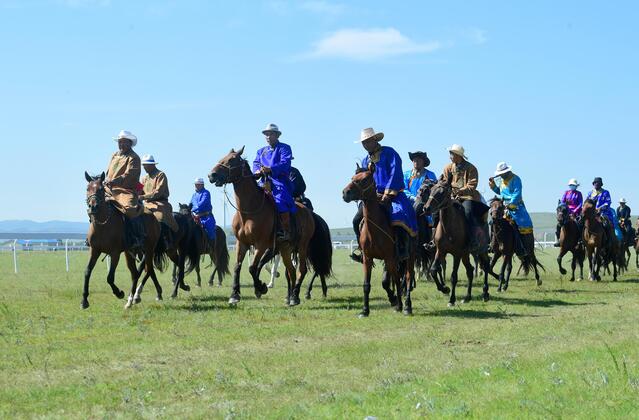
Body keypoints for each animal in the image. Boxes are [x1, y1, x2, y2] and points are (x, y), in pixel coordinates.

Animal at [82, 171, 168, 308]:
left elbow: (110, 277)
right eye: (87, 188)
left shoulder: (115, 253)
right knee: (136, 273)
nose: (92, 206)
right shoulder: (94, 251)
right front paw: (84, 300)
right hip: (132, 252)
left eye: (101, 189)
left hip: (149, 250)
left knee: (147, 270)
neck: (103, 225)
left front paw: (119, 293)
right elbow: (87, 272)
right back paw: (132, 299)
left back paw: (135, 297)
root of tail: (154, 218)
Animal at [210, 147, 332, 306]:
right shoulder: (242, 243)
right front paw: (235, 294)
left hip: (303, 246)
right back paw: (291, 296)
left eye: (232, 160)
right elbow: (238, 266)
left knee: (302, 270)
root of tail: (309, 213)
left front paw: (260, 288)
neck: (249, 211)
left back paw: (296, 296)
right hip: (285, 249)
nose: (211, 175)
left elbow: (253, 267)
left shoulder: (261, 245)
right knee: (291, 271)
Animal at [342, 162, 418, 316]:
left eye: (365, 179)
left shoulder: (389, 257)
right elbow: (368, 284)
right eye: (353, 177)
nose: (345, 193)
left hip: (410, 256)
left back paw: (407, 306)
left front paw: (398, 303)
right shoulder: (368, 258)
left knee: (407, 277)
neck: (374, 230)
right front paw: (365, 310)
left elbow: (394, 280)